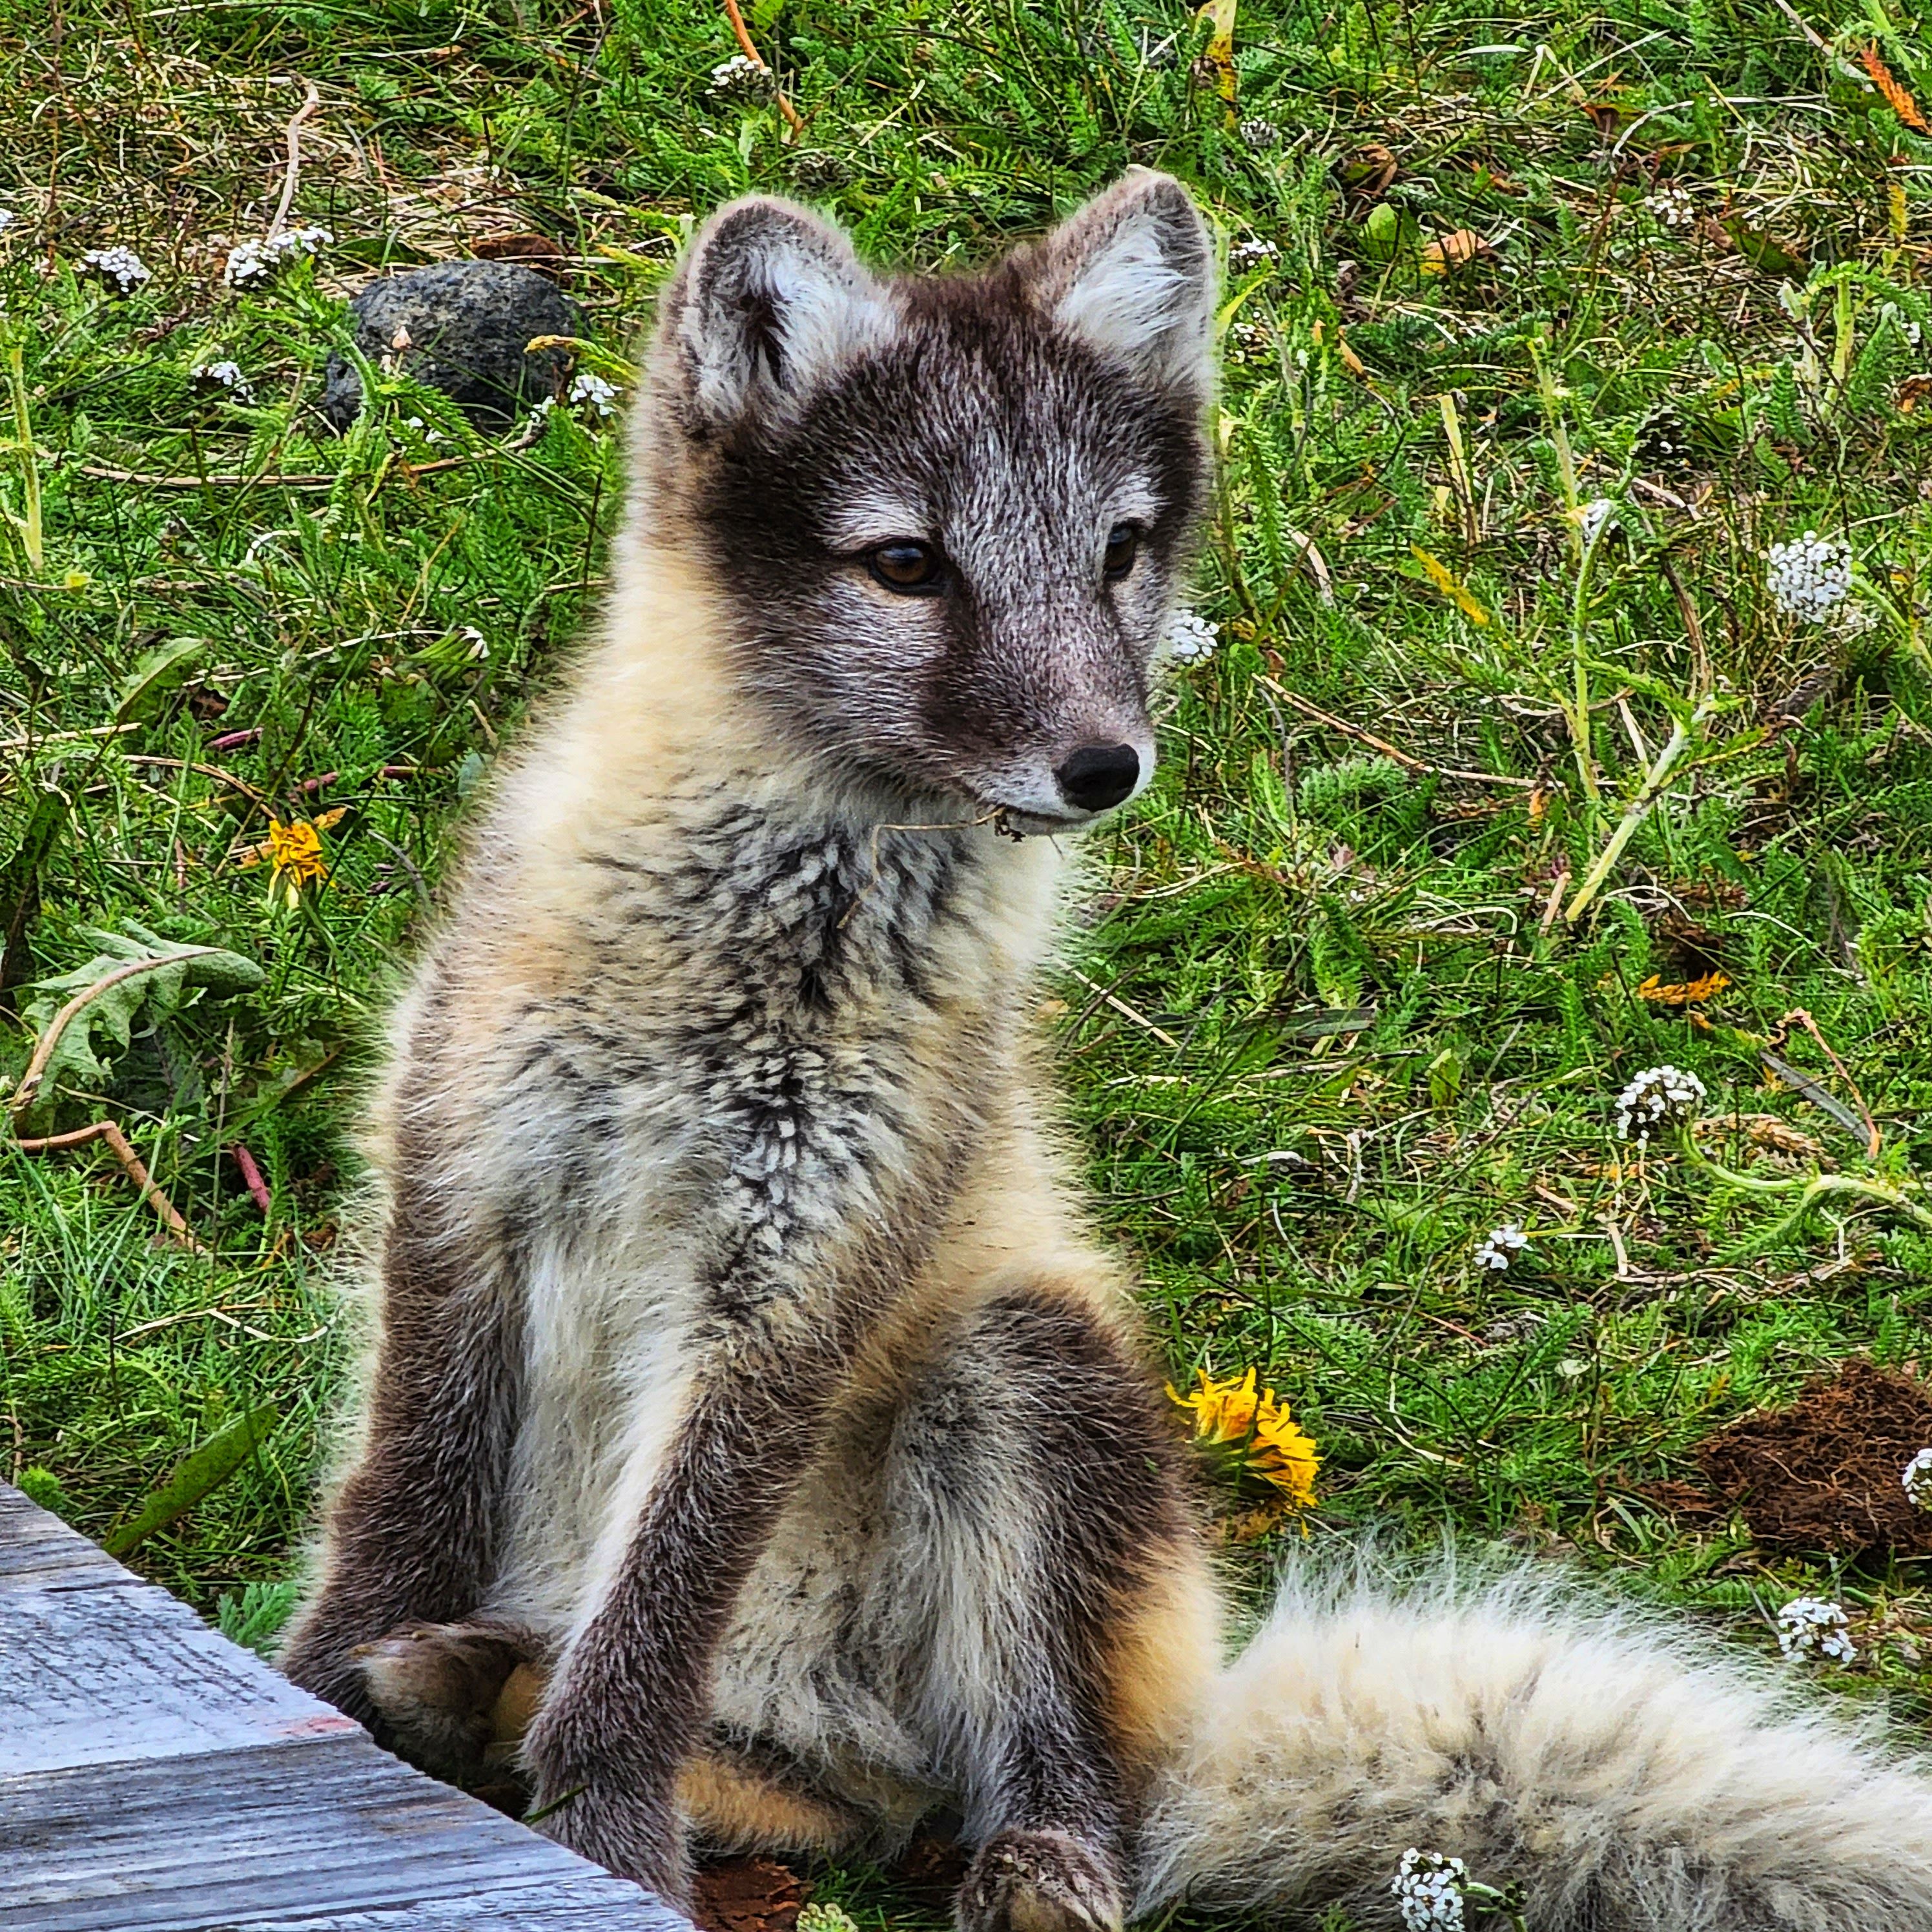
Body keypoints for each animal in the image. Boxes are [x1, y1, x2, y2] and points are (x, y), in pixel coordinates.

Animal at [280, 170, 1932, 1932]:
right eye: (907, 564)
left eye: (1118, 552)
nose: (1102, 763)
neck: (749, 954)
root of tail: (1191, 1729)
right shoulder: (463, 1176)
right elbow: (404, 1493)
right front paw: (322, 1693)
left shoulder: (797, 1274)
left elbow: (653, 1614)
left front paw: (599, 1835)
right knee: (836, 1797)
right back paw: (461, 1685)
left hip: (1022, 1362)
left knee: (976, 1797)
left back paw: (1028, 1857)